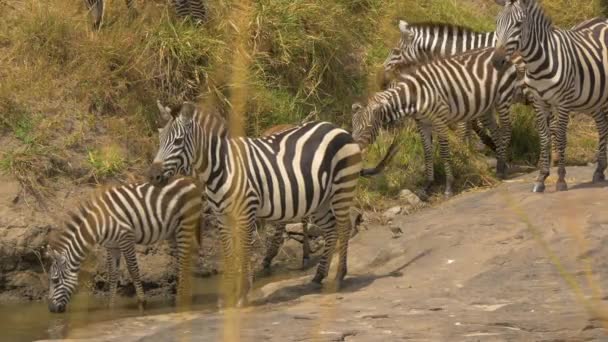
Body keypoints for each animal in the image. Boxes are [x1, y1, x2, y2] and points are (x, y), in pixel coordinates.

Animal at [46, 178, 202, 314]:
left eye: (55, 280)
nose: (51, 309)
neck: (98, 224)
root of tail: (189, 180)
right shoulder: (112, 246)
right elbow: (113, 274)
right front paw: (110, 306)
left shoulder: (126, 238)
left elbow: (133, 270)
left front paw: (141, 302)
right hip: (173, 232)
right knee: (183, 260)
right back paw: (185, 295)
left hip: (185, 224)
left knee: (184, 260)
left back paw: (181, 298)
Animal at [147, 101, 394, 308]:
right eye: (159, 139)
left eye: (177, 142)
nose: (153, 176)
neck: (223, 166)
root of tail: (339, 129)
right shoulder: (221, 217)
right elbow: (229, 254)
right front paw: (227, 297)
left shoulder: (247, 212)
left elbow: (244, 251)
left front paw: (242, 294)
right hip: (321, 201)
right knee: (331, 230)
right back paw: (318, 276)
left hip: (342, 188)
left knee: (343, 228)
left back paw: (339, 276)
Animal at [352, 47, 516, 196]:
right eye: (353, 127)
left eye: (368, 127)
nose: (355, 151)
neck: (415, 96)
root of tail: (500, 50)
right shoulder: (422, 123)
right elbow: (427, 153)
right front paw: (427, 185)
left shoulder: (439, 120)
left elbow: (444, 151)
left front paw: (449, 186)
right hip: (487, 106)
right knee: (496, 131)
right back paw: (501, 165)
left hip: (503, 98)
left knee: (506, 129)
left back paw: (502, 169)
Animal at [492, 0, 608, 192]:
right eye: (497, 23)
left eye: (518, 24)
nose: (496, 61)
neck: (538, 63)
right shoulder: (539, 102)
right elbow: (544, 137)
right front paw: (541, 178)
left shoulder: (562, 103)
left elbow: (560, 137)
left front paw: (561, 179)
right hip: (593, 98)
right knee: (602, 126)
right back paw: (599, 171)